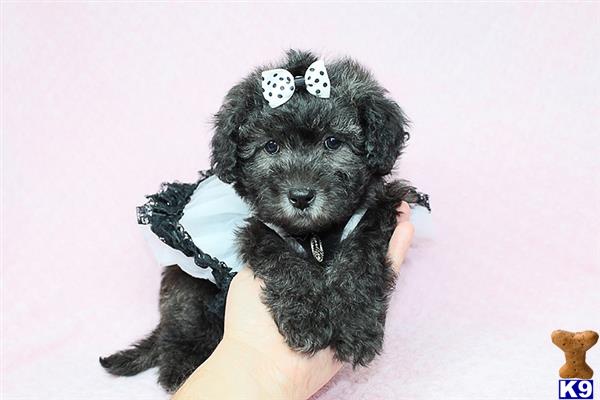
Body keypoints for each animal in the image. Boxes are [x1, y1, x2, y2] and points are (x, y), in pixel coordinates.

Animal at [101, 50, 426, 390]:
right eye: (271, 146)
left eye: (333, 142)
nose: (300, 196)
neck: (314, 235)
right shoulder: (255, 228)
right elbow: (280, 257)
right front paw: (308, 317)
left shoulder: (376, 211)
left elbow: (361, 257)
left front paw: (355, 323)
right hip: (187, 290)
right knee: (182, 323)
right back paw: (181, 367)